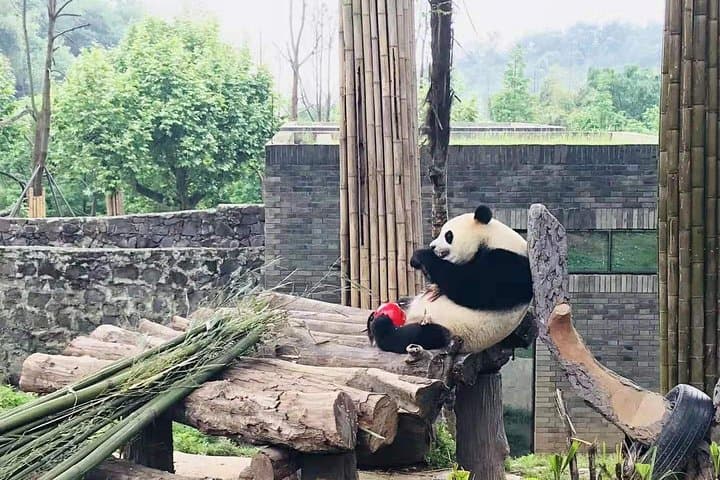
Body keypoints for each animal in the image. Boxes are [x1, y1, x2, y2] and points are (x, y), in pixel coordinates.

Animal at [367, 205, 533, 354]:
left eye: (448, 235)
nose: (432, 246)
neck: (494, 238)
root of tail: (411, 318)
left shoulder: (509, 265)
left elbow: (472, 287)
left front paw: (422, 256)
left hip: (452, 330)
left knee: (416, 336)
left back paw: (381, 325)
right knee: (405, 306)